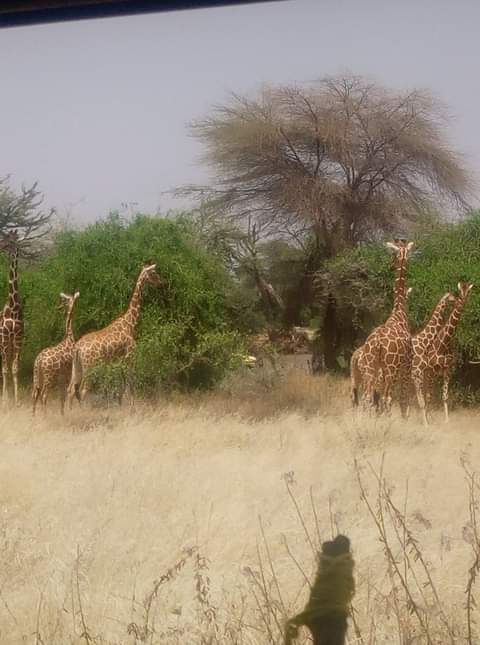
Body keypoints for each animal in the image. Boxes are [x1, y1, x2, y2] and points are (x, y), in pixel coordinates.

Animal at [67, 262, 162, 406]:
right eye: (153, 272)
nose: (161, 282)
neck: (130, 322)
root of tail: (77, 348)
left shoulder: (117, 360)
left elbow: (121, 384)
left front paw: (121, 404)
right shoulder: (129, 354)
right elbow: (130, 382)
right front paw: (130, 405)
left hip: (76, 366)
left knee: (71, 391)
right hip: (90, 366)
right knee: (82, 390)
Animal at [354, 240, 413, 417]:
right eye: (393, 253)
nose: (391, 265)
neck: (399, 312)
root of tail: (378, 343)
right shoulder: (408, 365)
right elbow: (403, 399)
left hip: (370, 368)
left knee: (366, 397)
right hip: (390, 369)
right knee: (386, 398)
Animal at [421, 281, 473, 424]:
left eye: (468, 291)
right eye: (460, 290)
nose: (463, 300)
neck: (444, 345)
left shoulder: (447, 369)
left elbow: (445, 396)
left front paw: (446, 421)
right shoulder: (432, 370)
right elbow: (429, 396)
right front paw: (427, 421)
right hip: (425, 372)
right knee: (425, 393)